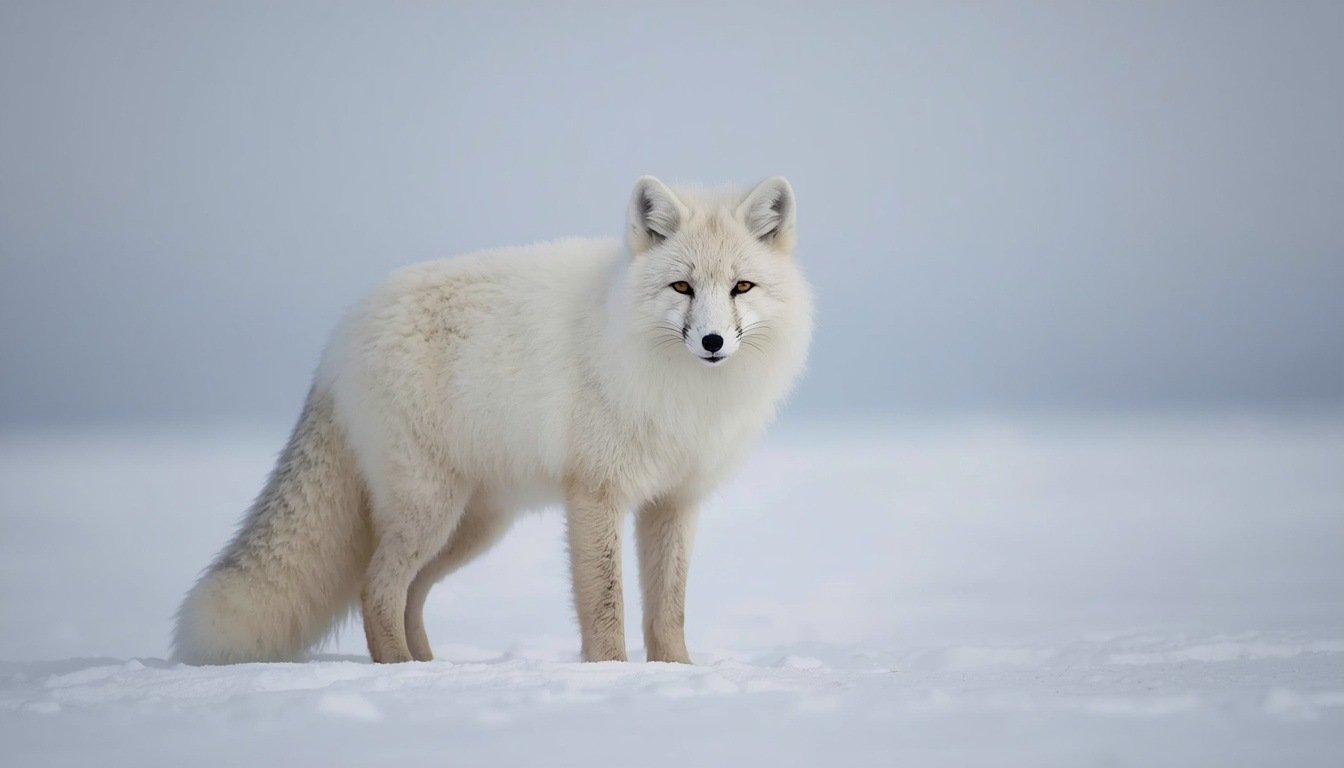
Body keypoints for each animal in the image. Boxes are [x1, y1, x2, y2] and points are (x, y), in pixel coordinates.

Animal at [173, 175, 813, 665]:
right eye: (682, 286)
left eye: (741, 286)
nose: (712, 342)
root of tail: (341, 337)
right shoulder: (596, 492)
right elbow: (605, 605)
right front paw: (612, 675)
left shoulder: (673, 501)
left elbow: (668, 610)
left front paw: (675, 676)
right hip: (429, 510)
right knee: (374, 590)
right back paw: (399, 672)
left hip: (471, 527)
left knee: (407, 595)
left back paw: (428, 669)